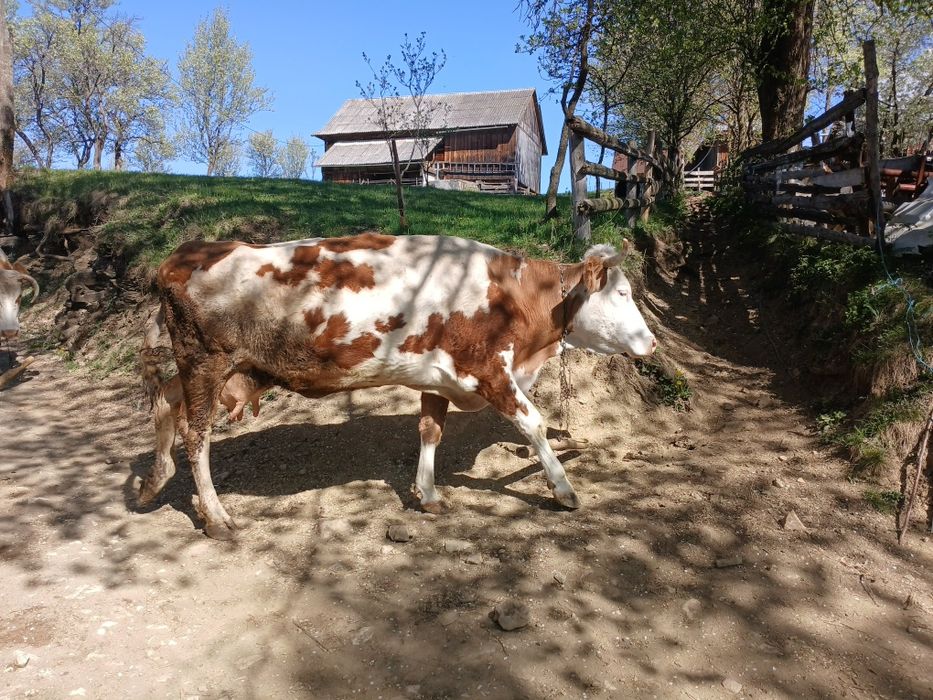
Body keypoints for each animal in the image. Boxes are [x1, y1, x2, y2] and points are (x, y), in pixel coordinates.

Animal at [141, 232, 656, 539]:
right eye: (623, 293)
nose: (651, 342)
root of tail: (183, 254)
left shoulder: (439, 375)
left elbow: (429, 431)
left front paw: (427, 495)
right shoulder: (489, 369)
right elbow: (534, 424)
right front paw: (563, 489)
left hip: (213, 368)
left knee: (164, 400)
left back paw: (154, 480)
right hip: (205, 363)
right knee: (197, 436)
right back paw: (216, 516)